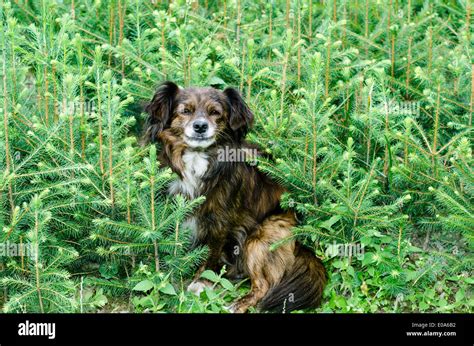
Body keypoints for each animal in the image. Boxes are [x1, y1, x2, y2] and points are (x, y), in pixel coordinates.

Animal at [142, 82, 326, 314]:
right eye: (186, 111)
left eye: (215, 113)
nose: (200, 126)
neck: (197, 158)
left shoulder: (221, 221)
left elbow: (211, 252)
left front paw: (202, 282)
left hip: (258, 240)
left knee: (264, 285)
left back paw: (237, 305)